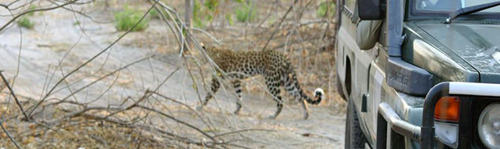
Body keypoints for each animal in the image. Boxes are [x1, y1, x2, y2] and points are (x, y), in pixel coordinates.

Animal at [196, 44, 324, 119]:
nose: (199, 60)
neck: (213, 52)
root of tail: (283, 56)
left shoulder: (217, 78)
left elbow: (209, 93)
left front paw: (201, 106)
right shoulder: (236, 80)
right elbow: (239, 96)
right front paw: (237, 110)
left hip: (271, 81)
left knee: (281, 100)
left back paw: (273, 115)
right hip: (286, 80)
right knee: (299, 96)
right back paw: (306, 114)